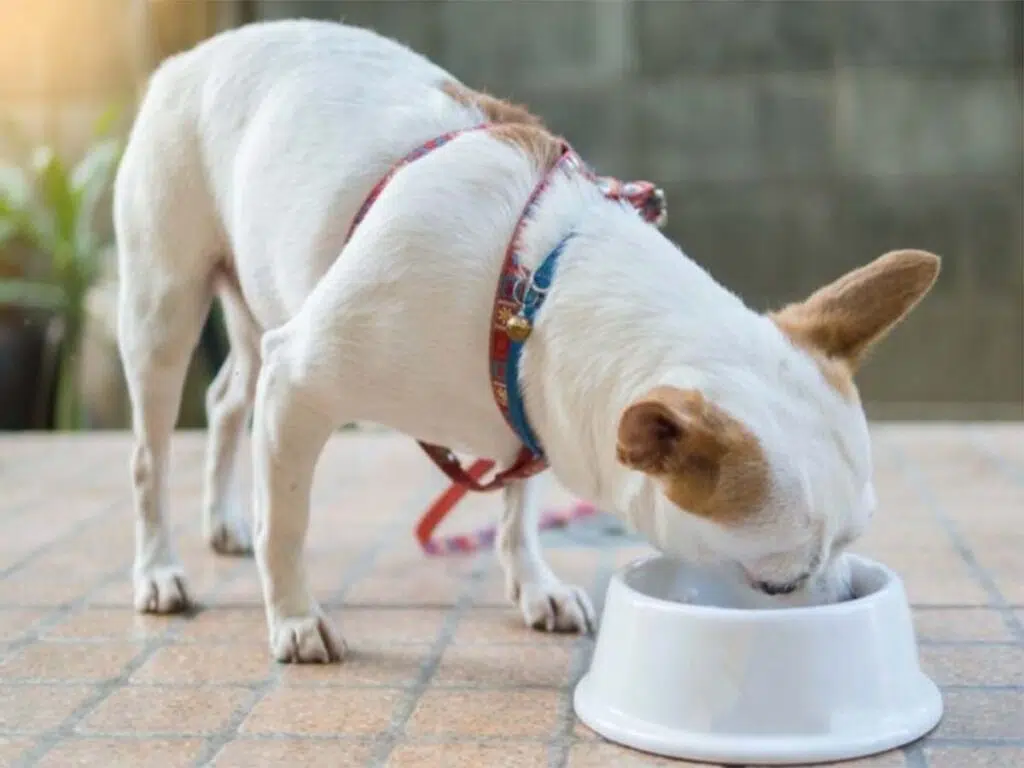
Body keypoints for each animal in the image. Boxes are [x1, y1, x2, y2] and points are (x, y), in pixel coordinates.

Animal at [116, 18, 937, 663]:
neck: (539, 281)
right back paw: (157, 569)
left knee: (228, 398)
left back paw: (221, 521)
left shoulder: (524, 400)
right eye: (779, 583)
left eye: (855, 538)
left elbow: (517, 505)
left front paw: (534, 585)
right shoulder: (301, 382)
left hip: (260, 302)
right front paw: (292, 616)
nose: (843, 602)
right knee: (151, 454)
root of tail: (197, 52)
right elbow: (286, 521)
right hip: (164, 309)